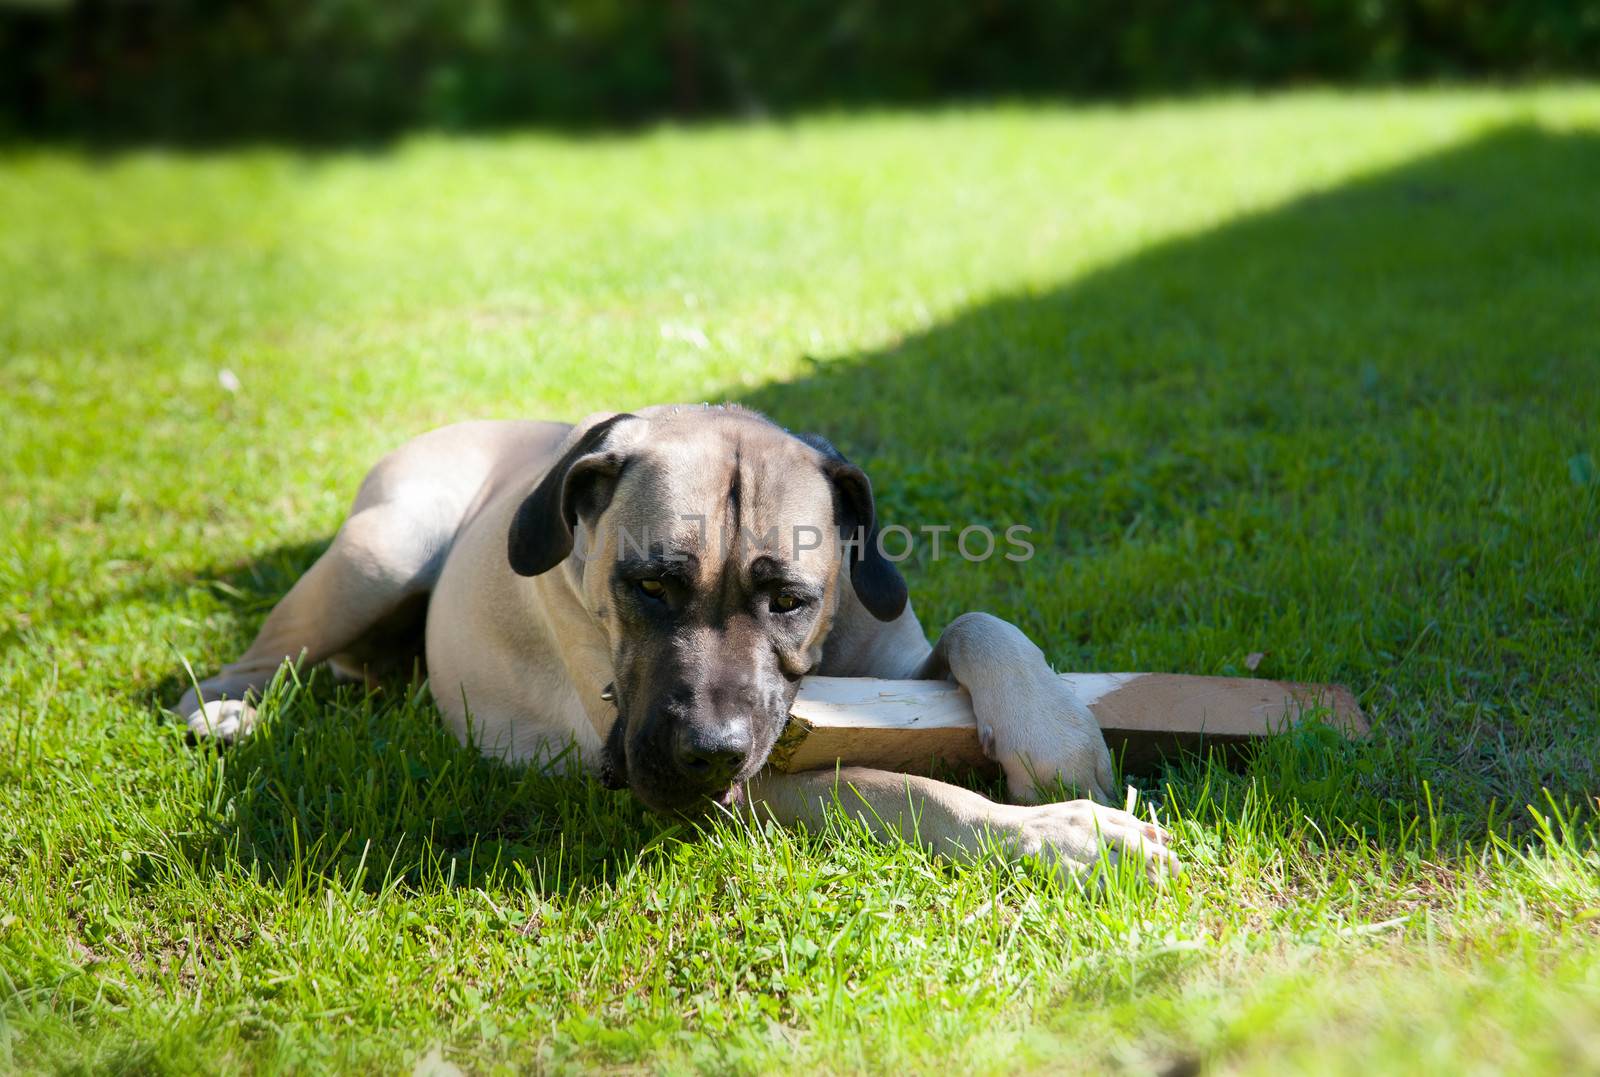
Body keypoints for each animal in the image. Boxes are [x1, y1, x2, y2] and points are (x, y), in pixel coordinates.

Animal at [175, 403, 1184, 883]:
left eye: (789, 600)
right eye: (647, 586)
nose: (710, 749)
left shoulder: (894, 662)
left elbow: (982, 624)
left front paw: (1049, 728)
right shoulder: (718, 784)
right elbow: (892, 786)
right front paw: (1067, 835)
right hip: (384, 545)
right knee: (264, 652)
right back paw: (227, 707)